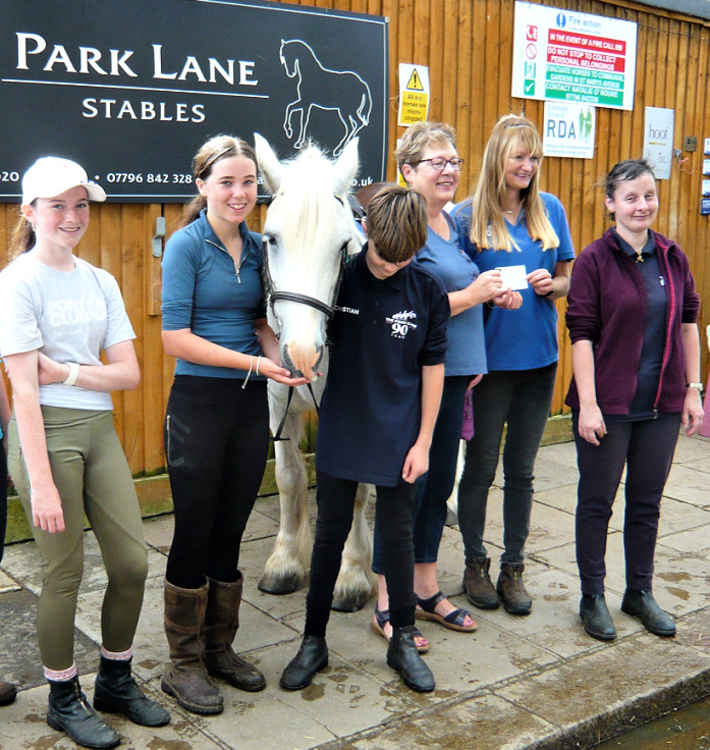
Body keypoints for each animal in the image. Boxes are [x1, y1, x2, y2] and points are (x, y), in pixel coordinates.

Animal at [256, 135, 378, 612]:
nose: (302, 355)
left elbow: (358, 486)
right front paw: (287, 560)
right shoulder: (278, 402)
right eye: (271, 239)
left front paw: (353, 572)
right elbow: (289, 479)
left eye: (342, 246)